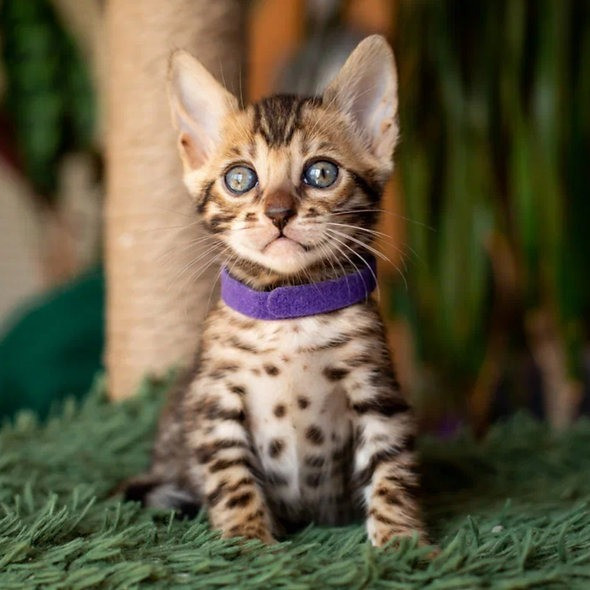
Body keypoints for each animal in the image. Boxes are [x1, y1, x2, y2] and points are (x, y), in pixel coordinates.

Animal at [123, 34, 430, 548]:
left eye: (321, 173)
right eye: (239, 178)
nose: (279, 212)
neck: (290, 308)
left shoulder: (377, 388)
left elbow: (392, 468)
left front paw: (402, 543)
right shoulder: (213, 401)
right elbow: (231, 478)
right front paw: (248, 542)